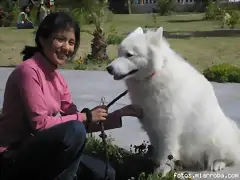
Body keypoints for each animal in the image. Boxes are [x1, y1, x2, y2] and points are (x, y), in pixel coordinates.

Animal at [106, 26, 240, 176]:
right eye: (119, 53)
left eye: (129, 55)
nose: (108, 68)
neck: (154, 75)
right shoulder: (151, 125)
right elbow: (158, 150)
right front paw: (154, 165)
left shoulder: (169, 127)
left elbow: (167, 152)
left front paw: (161, 173)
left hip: (216, 139)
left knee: (228, 158)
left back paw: (218, 163)